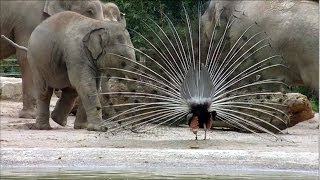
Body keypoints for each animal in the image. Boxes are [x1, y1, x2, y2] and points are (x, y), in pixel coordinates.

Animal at [2, 11, 135, 131]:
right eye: (123, 60)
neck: (98, 24)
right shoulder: (76, 52)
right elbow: (85, 84)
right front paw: (100, 129)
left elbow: (91, 86)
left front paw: (84, 128)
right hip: (36, 61)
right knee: (45, 91)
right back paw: (44, 127)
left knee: (70, 90)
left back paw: (58, 121)